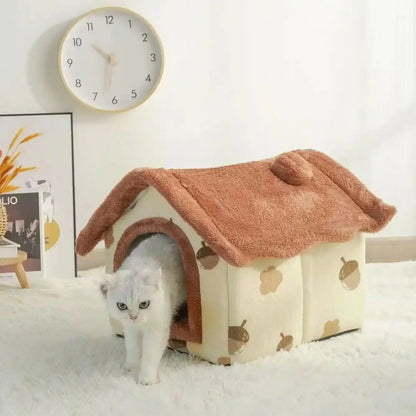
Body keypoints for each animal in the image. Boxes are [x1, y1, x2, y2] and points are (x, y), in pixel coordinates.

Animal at [100, 232, 186, 386]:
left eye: (144, 304)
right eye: (122, 306)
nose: (133, 317)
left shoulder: (157, 329)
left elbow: (150, 354)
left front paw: (146, 379)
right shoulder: (130, 329)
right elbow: (132, 347)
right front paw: (130, 367)